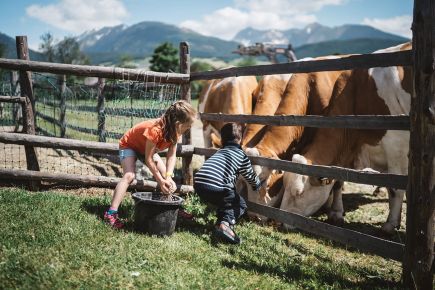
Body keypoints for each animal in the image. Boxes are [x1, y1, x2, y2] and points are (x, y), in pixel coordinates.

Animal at [282, 42, 418, 233]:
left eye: (298, 192)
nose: (279, 221)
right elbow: (338, 181)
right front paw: (336, 214)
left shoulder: (396, 146)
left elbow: (395, 188)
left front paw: (390, 224)